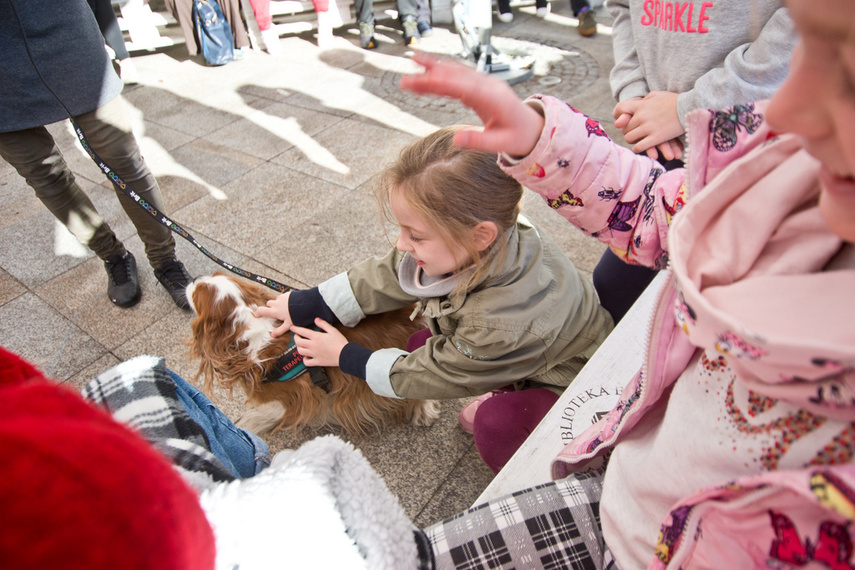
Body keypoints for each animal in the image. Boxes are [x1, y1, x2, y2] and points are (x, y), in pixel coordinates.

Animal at [186, 272, 442, 432]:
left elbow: (259, 416)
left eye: (197, 293)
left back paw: (422, 409)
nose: (193, 278)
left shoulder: (288, 398)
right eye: (213, 276)